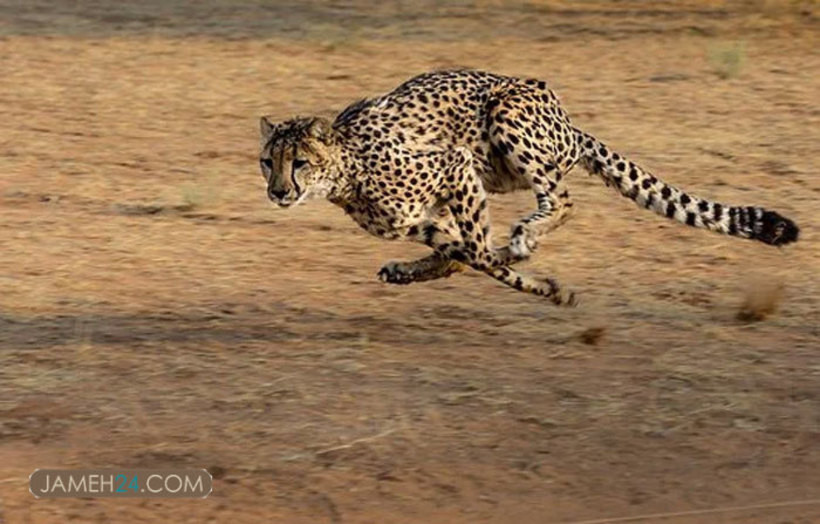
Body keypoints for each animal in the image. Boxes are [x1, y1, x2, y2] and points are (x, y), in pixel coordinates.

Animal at [260, 70, 796, 308]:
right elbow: (464, 254)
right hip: (497, 169)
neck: (346, 170)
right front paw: (541, 284)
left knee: (561, 199)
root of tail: (569, 122)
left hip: (506, 118)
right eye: (268, 162)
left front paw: (541, 281)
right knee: (470, 248)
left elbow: (479, 252)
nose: (278, 192)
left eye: (299, 163)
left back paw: (523, 237)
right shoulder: (421, 219)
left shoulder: (454, 165)